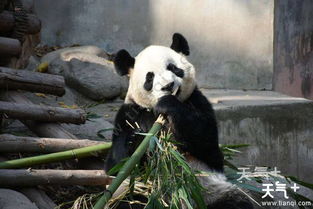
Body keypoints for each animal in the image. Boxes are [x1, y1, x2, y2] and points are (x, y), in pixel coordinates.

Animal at [105, 33, 254, 208]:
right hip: (140, 192)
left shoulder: (197, 101)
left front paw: (167, 104)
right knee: (128, 201)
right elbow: (116, 166)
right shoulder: (129, 114)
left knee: (234, 201)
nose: (168, 86)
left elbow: (205, 138)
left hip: (212, 192)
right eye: (149, 78)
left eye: (173, 68)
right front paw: (139, 139)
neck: (155, 112)